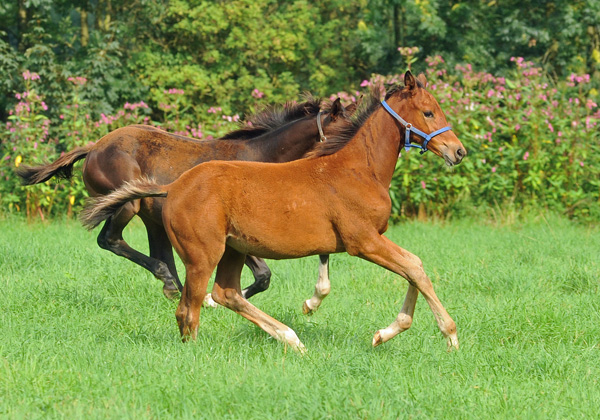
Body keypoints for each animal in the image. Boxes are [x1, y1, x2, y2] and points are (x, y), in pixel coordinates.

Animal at [83, 72, 468, 352]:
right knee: (188, 308)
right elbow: (415, 267)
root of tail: (174, 186)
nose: (458, 151)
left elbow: (412, 268)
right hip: (202, 254)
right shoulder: (363, 241)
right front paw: (449, 335)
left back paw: (291, 339)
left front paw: (385, 333)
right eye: (428, 112)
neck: (359, 168)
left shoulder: (371, 240)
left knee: (226, 293)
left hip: (233, 250)